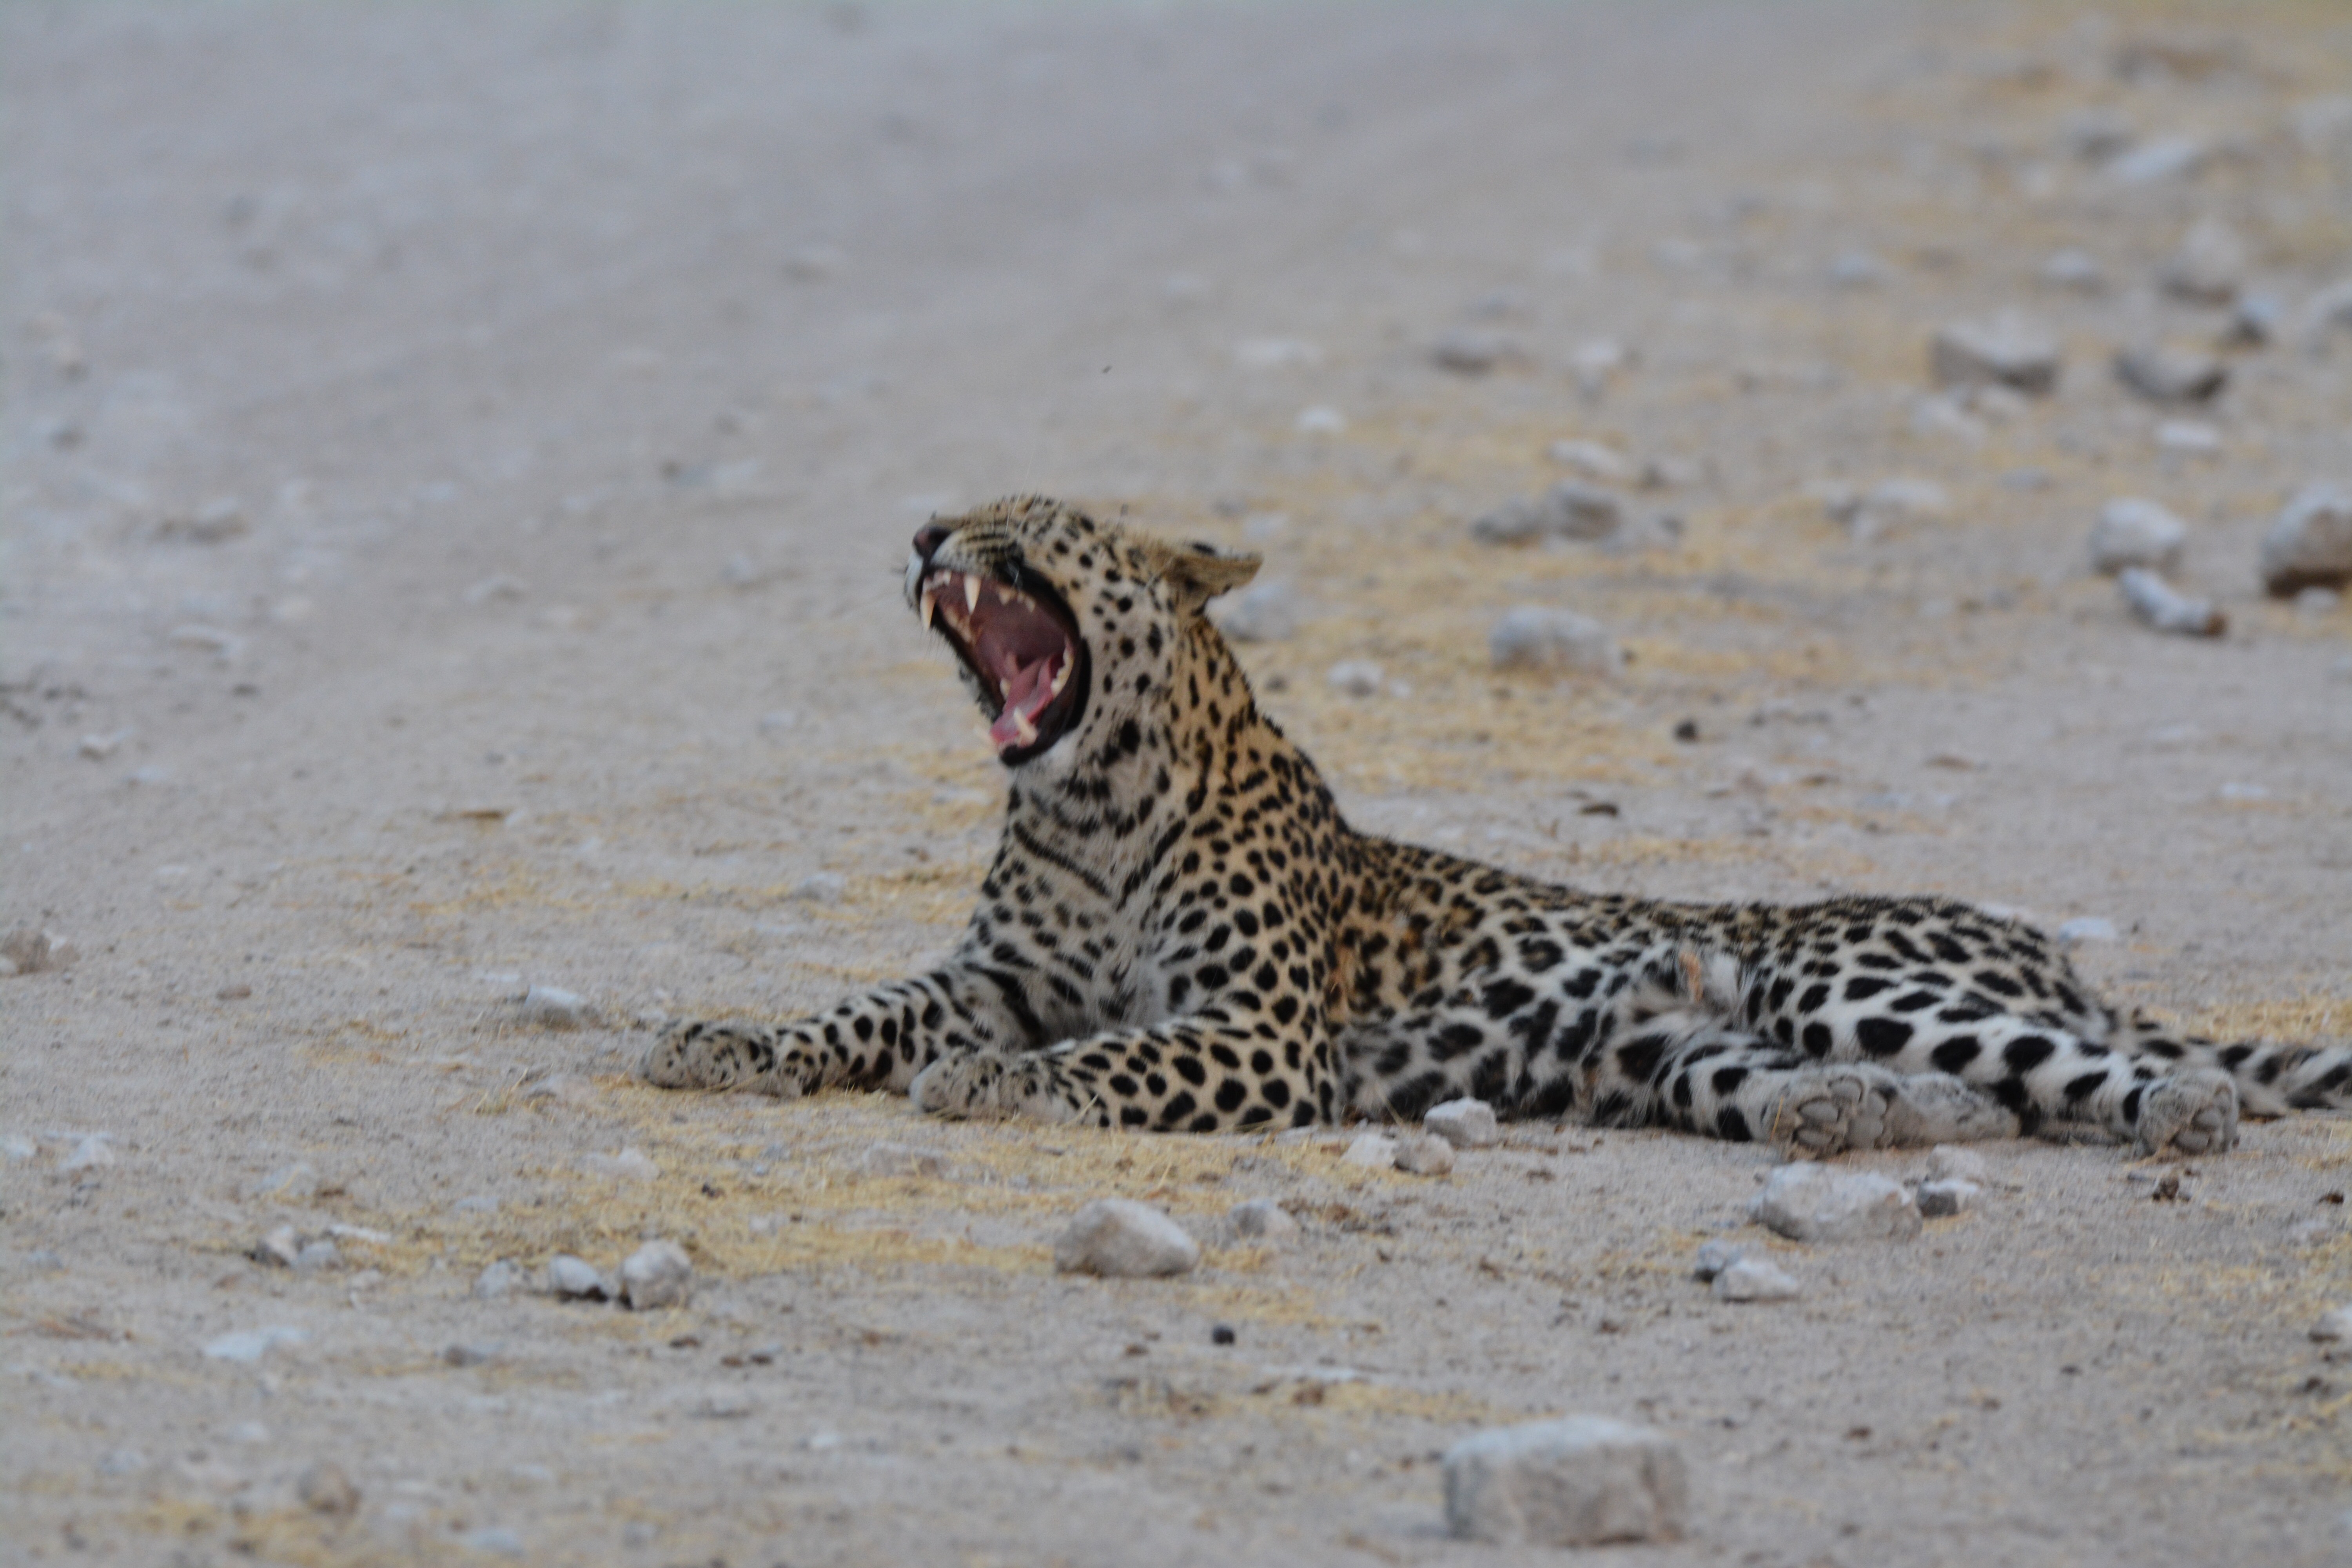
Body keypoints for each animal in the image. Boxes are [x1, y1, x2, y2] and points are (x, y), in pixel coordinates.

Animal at [641, 495, 2351, 1157]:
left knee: (2120, 1069)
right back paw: (1853, 1118)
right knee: (1941, 1095)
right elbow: (860, 1009)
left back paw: (2179, 1113)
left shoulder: (1257, 1032)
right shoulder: (994, 971)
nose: (929, 531)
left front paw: (996, 1086)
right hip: (1685, 1058)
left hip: (1853, 976)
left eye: (1035, 525)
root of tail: (2046, 947)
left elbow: (1108, 1056)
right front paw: (723, 1041)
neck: (1090, 797)